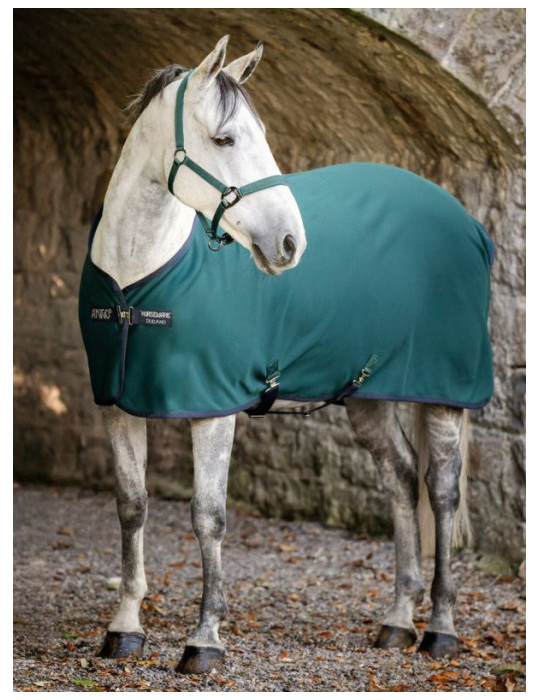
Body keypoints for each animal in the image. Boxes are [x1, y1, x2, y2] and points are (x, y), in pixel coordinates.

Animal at [79, 36, 494, 673]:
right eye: (225, 139)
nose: (290, 244)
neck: (137, 279)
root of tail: (467, 222)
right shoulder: (118, 405)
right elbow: (131, 507)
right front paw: (124, 628)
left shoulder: (213, 410)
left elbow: (208, 516)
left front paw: (204, 639)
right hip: (367, 395)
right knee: (401, 479)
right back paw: (397, 620)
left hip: (444, 395)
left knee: (441, 491)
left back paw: (440, 630)